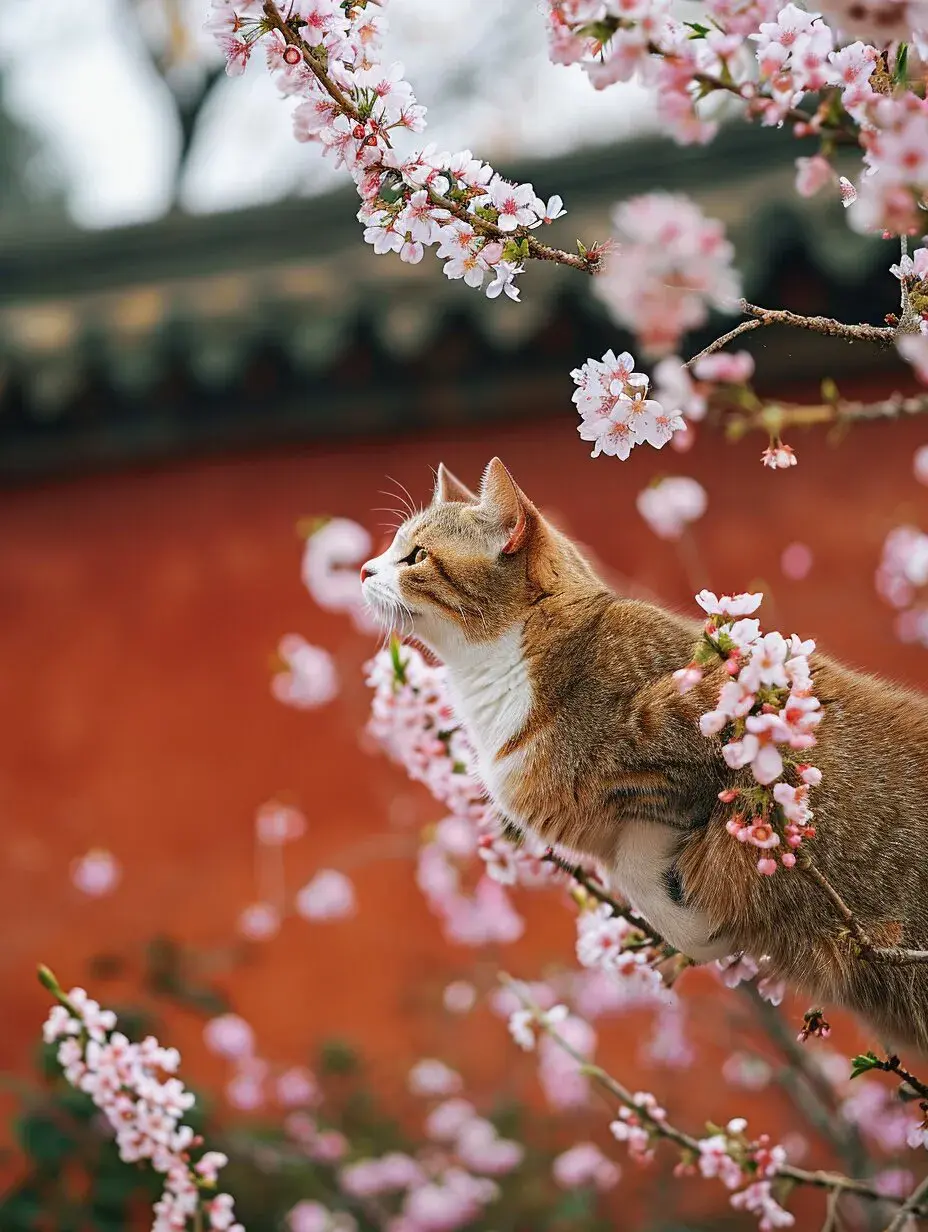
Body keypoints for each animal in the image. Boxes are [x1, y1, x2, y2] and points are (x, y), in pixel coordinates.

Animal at [357, 455, 926, 1049]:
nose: (365, 571)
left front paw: (698, 920)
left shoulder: (706, 737)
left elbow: (648, 854)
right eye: (394, 547)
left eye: (416, 556)